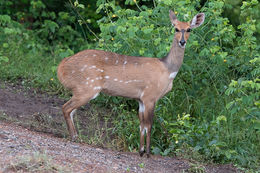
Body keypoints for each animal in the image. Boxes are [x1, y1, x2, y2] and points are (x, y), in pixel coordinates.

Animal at [57, 10, 205, 157]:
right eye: (176, 28)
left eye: (189, 29)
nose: (182, 41)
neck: (168, 70)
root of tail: (61, 67)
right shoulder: (150, 96)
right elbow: (149, 125)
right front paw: (148, 153)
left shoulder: (140, 99)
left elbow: (141, 125)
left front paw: (140, 151)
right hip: (87, 87)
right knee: (66, 107)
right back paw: (74, 137)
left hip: (82, 89)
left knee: (70, 110)